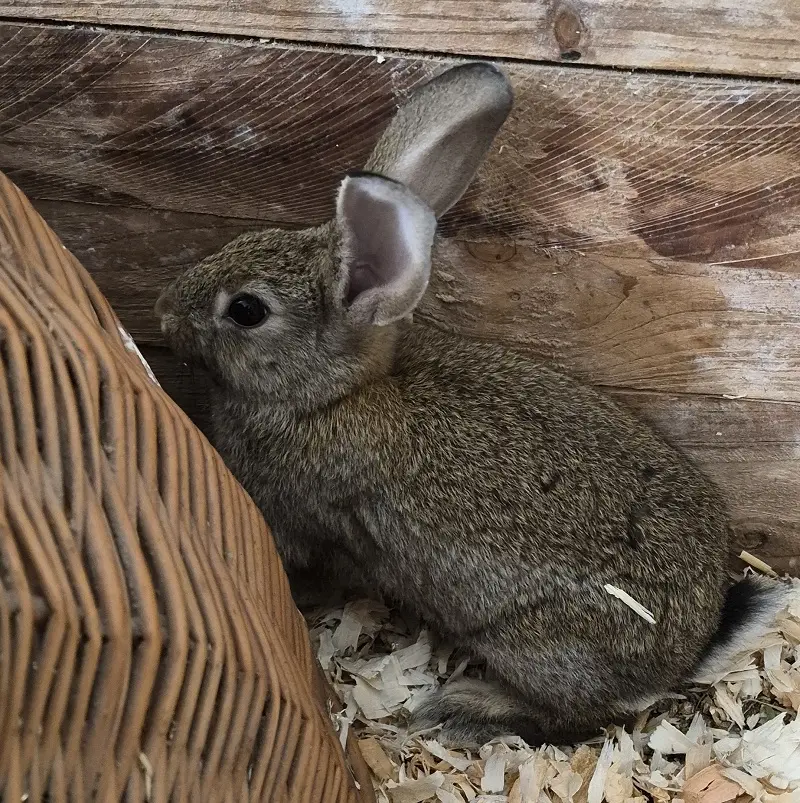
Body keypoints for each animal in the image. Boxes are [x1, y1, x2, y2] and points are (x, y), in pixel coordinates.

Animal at [156, 62, 790, 747]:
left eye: (246, 310)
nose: (164, 312)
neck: (331, 393)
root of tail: (688, 652)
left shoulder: (306, 524)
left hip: (534, 646)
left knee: (584, 717)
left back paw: (468, 707)